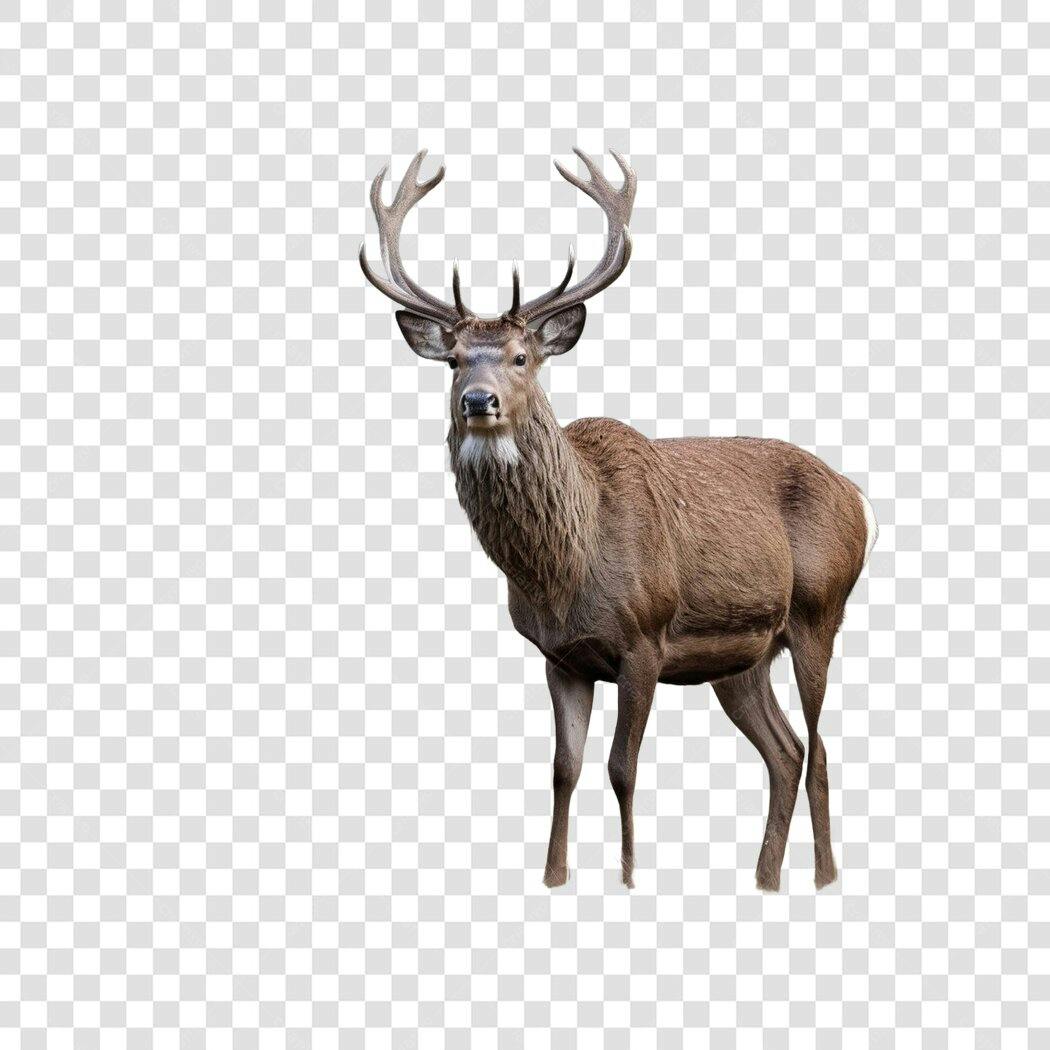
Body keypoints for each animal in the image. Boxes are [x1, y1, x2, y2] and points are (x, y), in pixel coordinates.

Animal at [360, 148, 877, 891]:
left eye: (523, 357)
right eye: (454, 360)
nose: (478, 401)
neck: (566, 565)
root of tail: (859, 498)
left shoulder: (644, 640)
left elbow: (622, 769)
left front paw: (630, 879)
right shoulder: (559, 657)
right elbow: (564, 770)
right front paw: (554, 879)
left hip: (819, 610)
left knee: (822, 748)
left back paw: (823, 878)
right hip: (742, 657)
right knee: (786, 750)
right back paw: (764, 878)